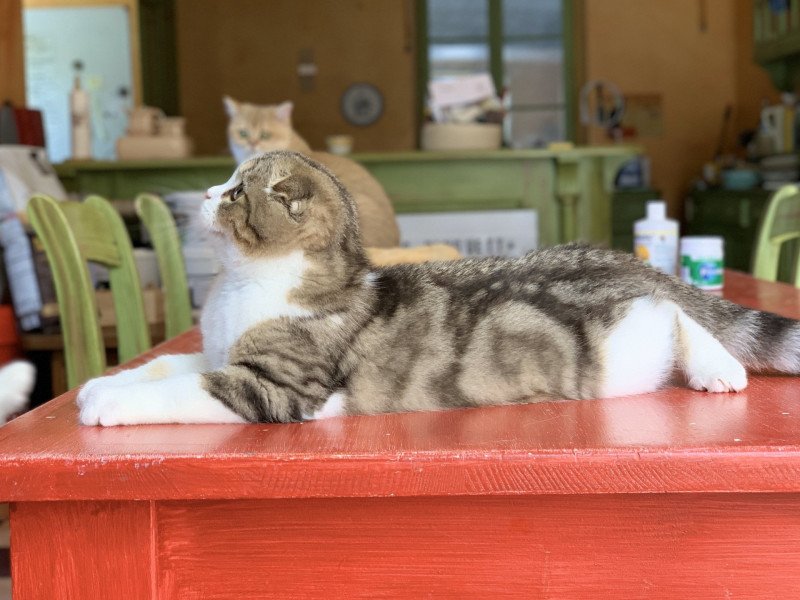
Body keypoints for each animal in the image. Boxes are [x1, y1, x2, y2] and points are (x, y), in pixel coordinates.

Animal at [78, 151, 796, 426]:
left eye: (233, 192)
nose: (202, 192)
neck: (240, 285)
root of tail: (617, 261)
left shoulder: (275, 385)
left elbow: (183, 388)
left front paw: (111, 405)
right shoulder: (221, 352)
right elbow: (167, 364)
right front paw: (100, 384)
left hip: (623, 351)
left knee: (674, 313)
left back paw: (717, 368)